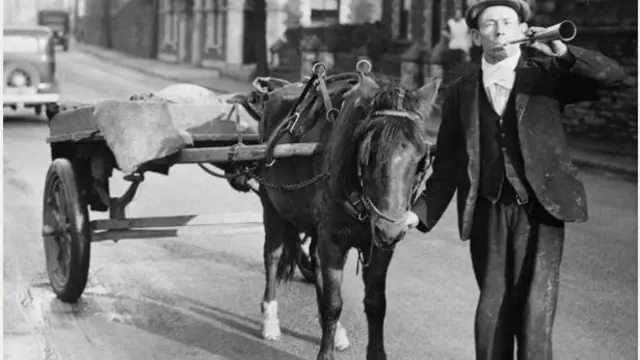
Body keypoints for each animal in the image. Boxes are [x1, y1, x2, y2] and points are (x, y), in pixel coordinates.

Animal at [252, 64, 442, 360]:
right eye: (368, 151)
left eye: (422, 156)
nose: (390, 229)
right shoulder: (333, 239)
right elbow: (333, 303)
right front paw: (325, 351)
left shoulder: (380, 246)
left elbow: (376, 304)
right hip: (271, 205)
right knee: (272, 255)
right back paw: (270, 318)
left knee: (315, 261)